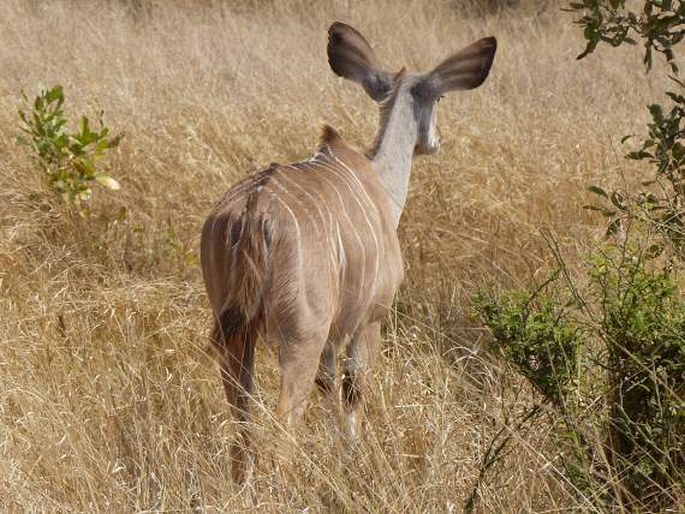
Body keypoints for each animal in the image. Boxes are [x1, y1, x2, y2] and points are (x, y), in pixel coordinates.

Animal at [199, 23, 496, 480]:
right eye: (440, 97)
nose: (436, 142)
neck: (378, 182)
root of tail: (254, 211)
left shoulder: (331, 336)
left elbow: (329, 385)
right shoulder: (368, 319)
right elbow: (353, 388)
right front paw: (349, 460)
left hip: (237, 333)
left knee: (242, 414)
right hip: (300, 335)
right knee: (283, 421)